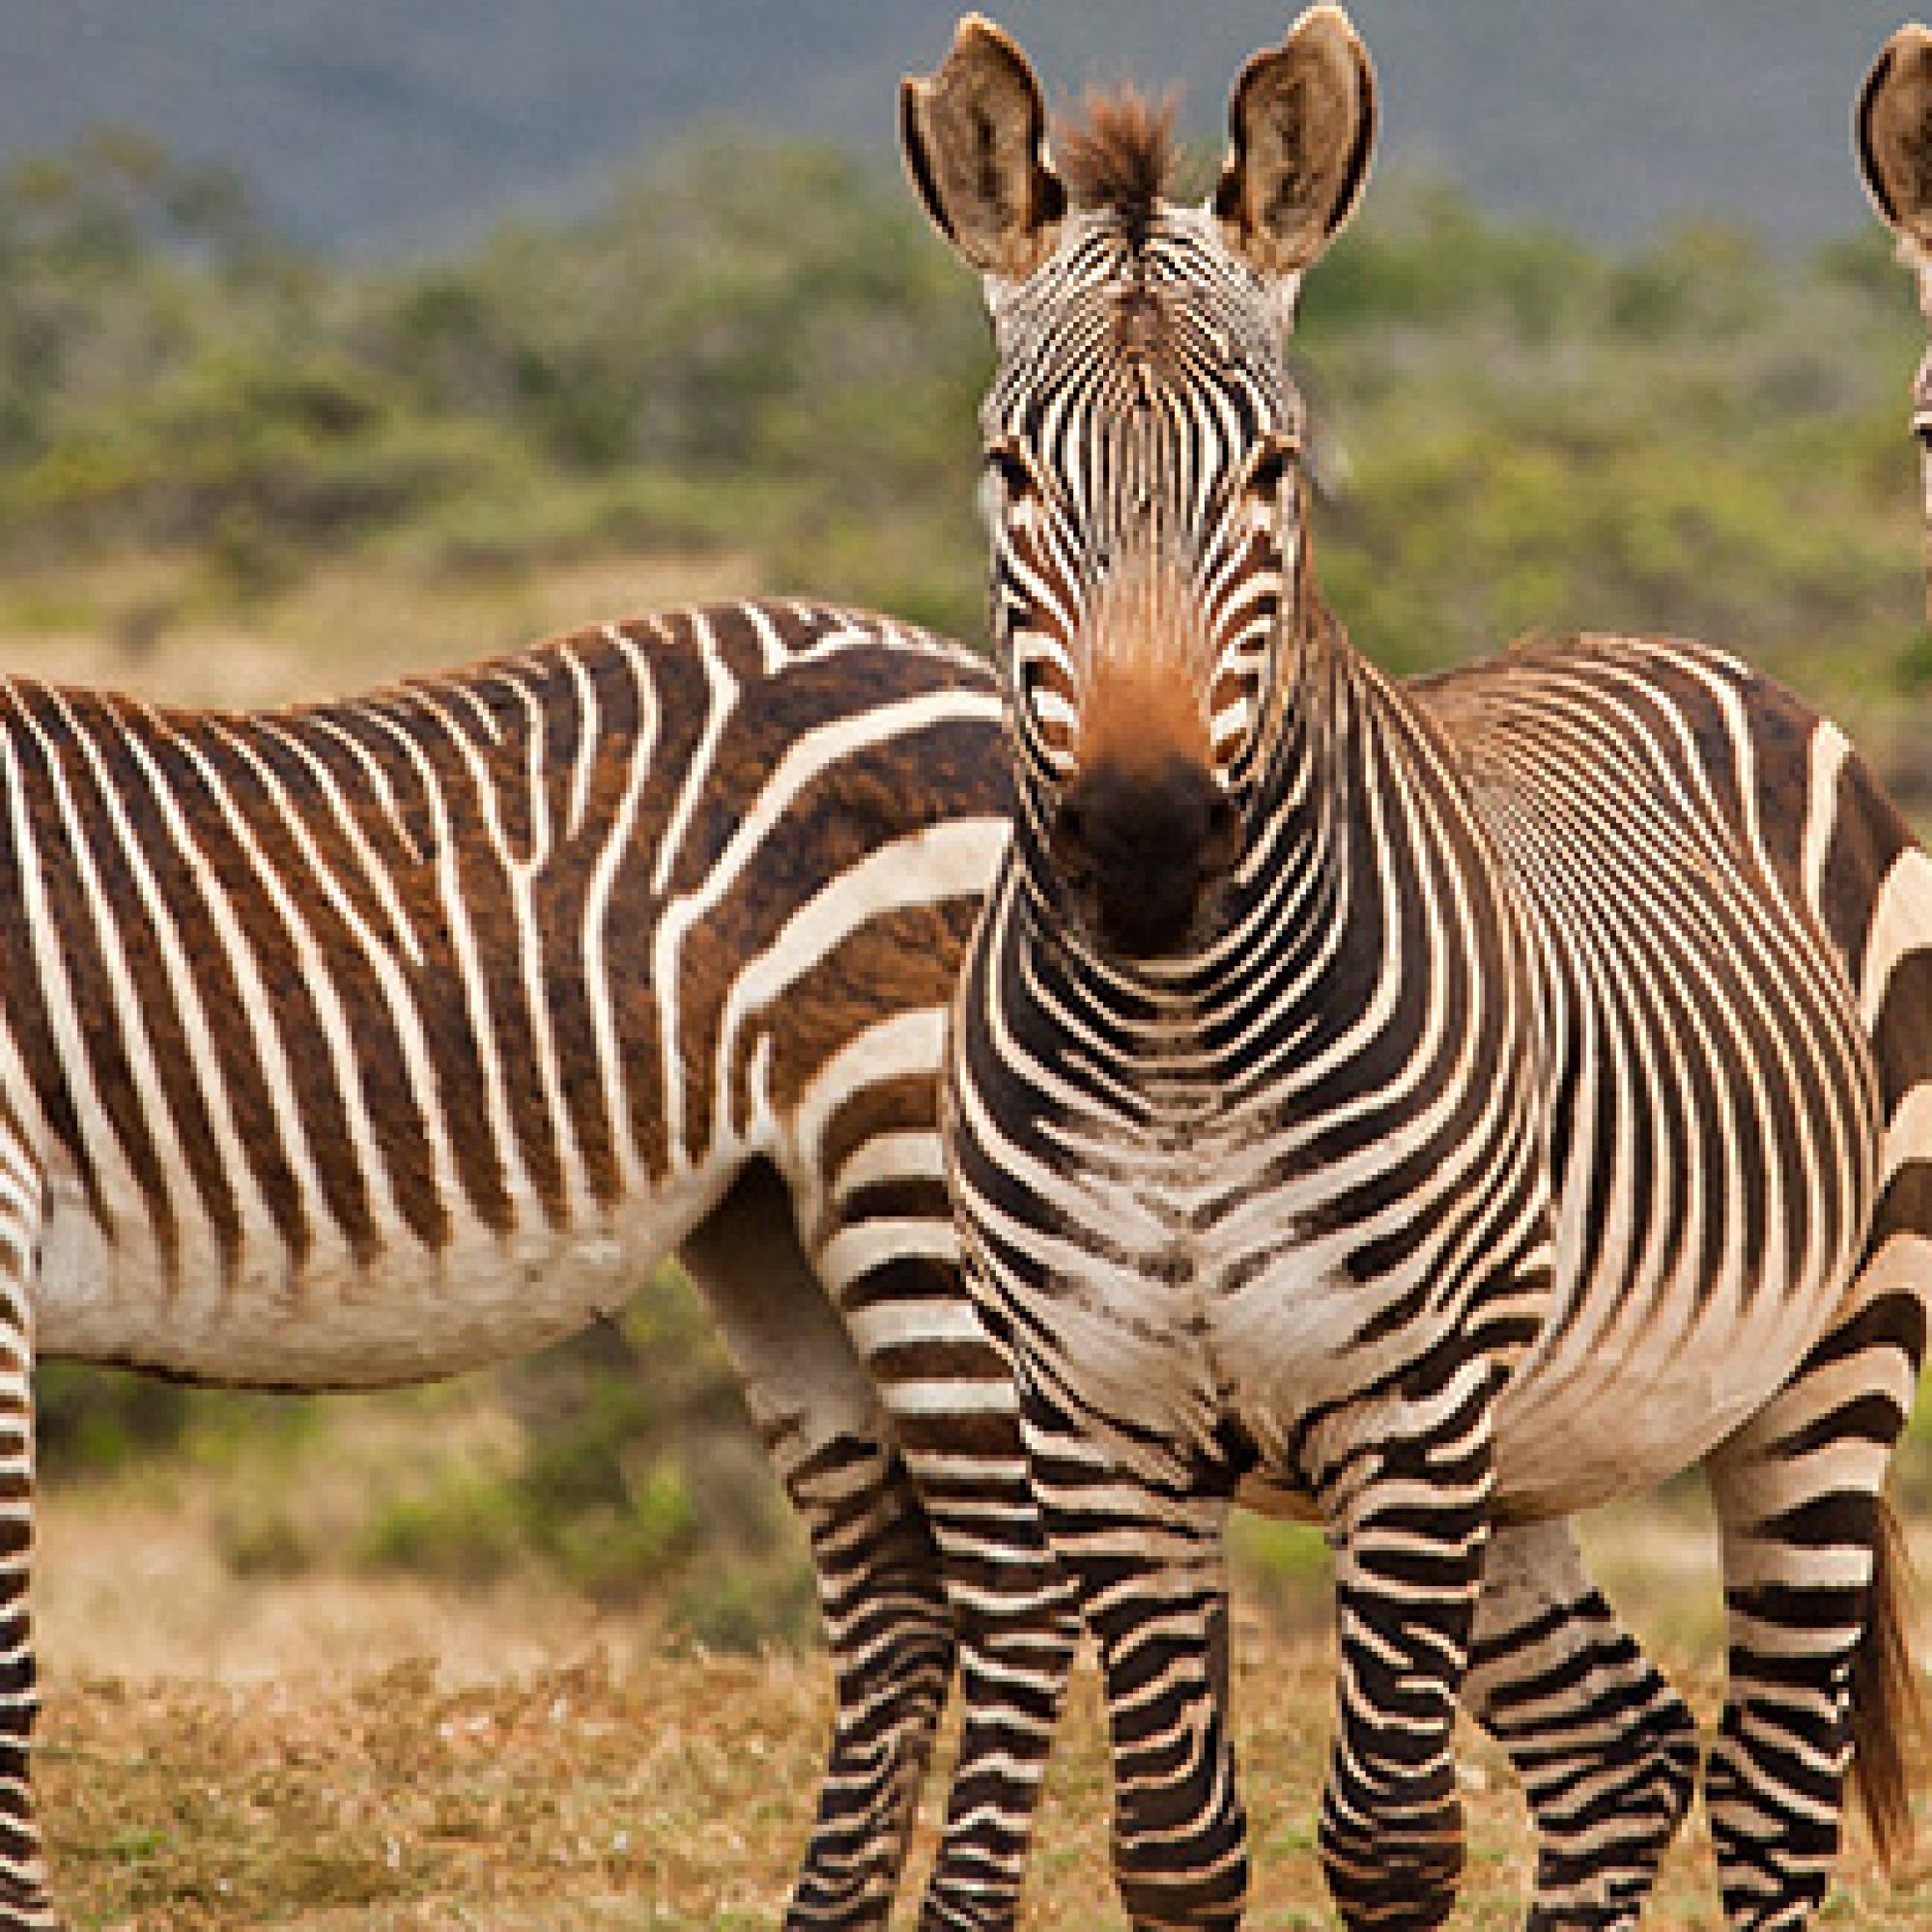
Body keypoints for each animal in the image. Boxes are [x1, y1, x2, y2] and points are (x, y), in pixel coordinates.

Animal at [912, 7, 1932, 1924]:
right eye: (1010, 473)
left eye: (1272, 472)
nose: (1146, 841)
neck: (1176, 1045)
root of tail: (1674, 645)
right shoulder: (1095, 1425)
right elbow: (1178, 1849)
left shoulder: (1409, 1406)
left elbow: (1389, 1839)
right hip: (1530, 1454)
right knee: (1624, 1753)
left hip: (1826, 1358)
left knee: (1770, 1788)